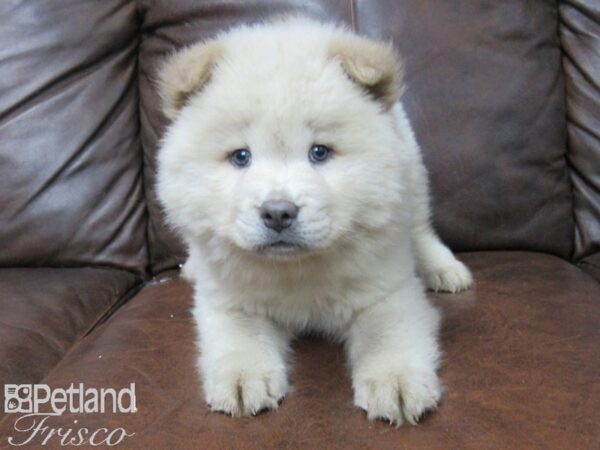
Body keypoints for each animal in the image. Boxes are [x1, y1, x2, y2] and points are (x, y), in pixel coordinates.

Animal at [156, 17, 474, 426]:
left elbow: (387, 334)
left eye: (319, 152)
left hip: (415, 179)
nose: (278, 211)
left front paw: (397, 383)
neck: (297, 270)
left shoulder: (386, 291)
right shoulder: (231, 301)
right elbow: (240, 337)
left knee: (420, 229)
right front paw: (243, 380)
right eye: (241, 156)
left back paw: (444, 269)